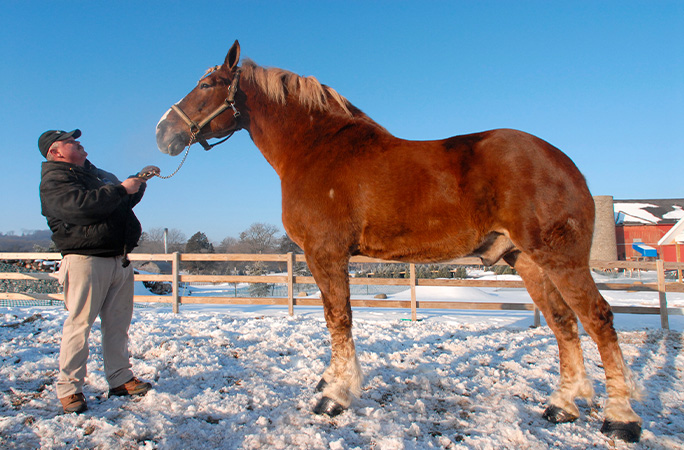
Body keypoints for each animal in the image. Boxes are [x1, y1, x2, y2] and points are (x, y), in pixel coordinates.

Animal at [158, 40, 644, 442]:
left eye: (206, 84)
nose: (163, 132)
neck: (317, 149)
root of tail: (564, 162)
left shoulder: (326, 254)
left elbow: (339, 320)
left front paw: (334, 396)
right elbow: (336, 321)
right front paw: (332, 383)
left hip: (560, 258)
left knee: (599, 319)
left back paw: (621, 419)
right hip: (525, 260)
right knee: (564, 323)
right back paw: (562, 406)